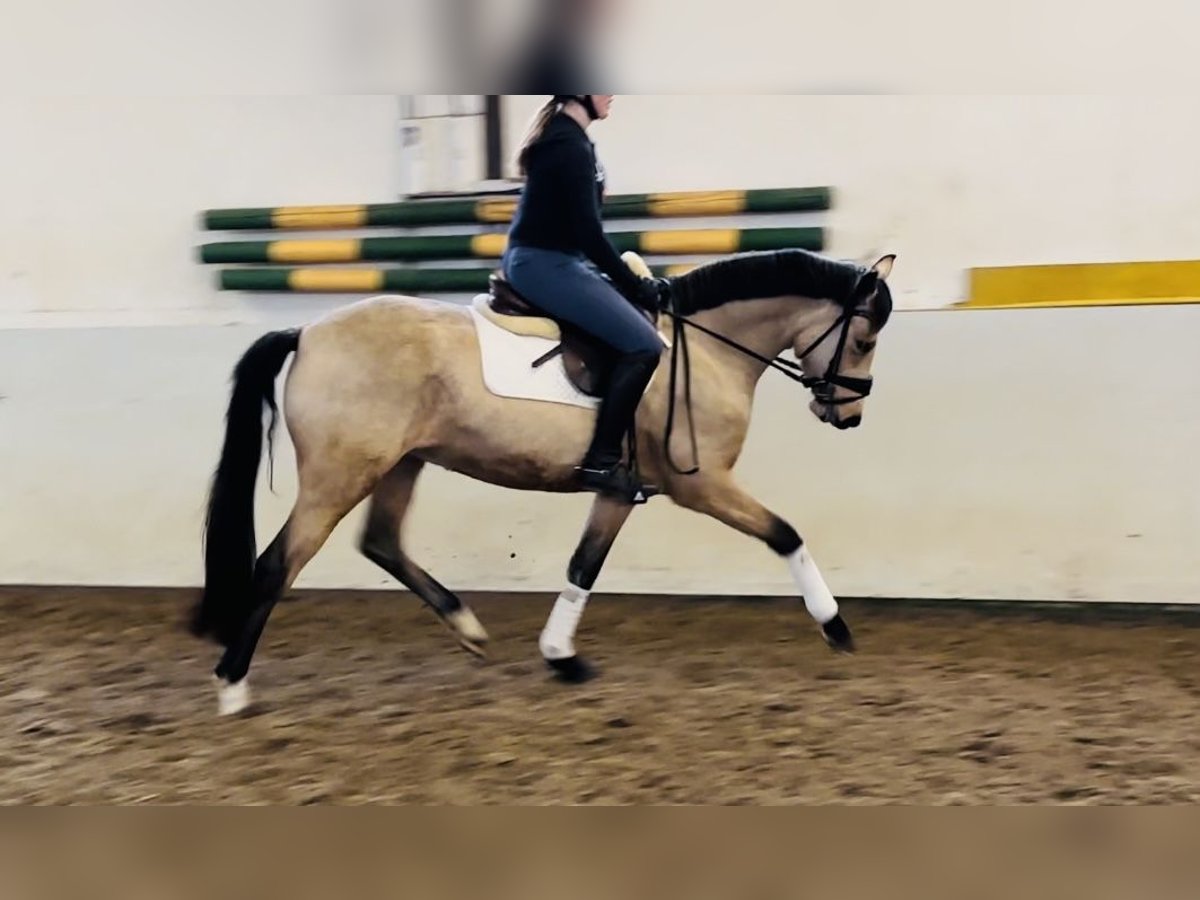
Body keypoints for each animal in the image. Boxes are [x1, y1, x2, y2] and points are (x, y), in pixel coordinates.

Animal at [192, 248, 897, 720]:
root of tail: (307, 332)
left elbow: (583, 566)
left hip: (400, 463)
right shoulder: (702, 486)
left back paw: (468, 627)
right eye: (863, 339)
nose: (849, 415)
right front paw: (835, 627)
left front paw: (561, 655)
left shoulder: (617, 491)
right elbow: (786, 534)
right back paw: (233, 687)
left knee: (382, 543)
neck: (706, 351)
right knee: (277, 564)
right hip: (340, 475)